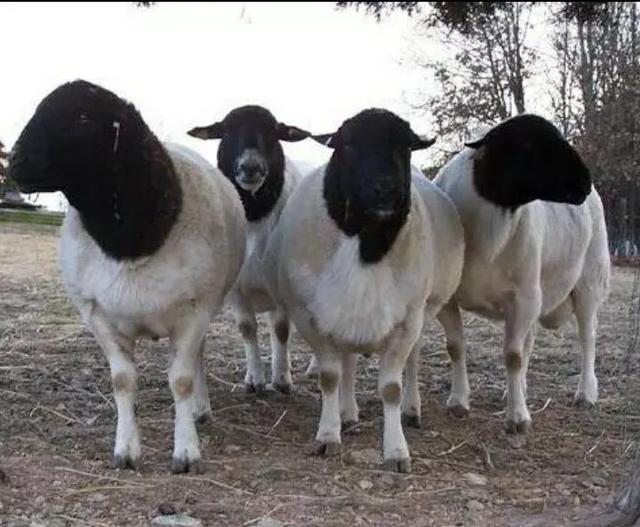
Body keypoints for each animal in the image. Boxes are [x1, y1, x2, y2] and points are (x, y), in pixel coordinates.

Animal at [8, 80, 246, 472]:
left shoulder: (195, 311)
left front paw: (186, 452)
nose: (14, 161)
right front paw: (125, 451)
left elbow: (181, 381)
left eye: (82, 117)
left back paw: (200, 408)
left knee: (198, 356)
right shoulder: (96, 314)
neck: (131, 241)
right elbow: (122, 381)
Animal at [188, 106, 310, 394]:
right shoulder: (237, 288)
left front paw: (282, 379)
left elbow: (281, 329)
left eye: (273, 132)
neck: (255, 216)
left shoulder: (281, 285)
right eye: (227, 131)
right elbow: (247, 328)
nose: (251, 167)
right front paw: (255, 379)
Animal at [265, 109, 464, 472]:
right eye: (349, 145)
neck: (367, 245)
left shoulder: (408, 319)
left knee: (412, 361)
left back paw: (411, 410)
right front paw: (328, 436)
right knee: (348, 361)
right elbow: (330, 377)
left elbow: (391, 388)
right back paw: (347, 414)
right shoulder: (309, 316)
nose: (386, 189)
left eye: (406, 146)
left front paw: (397, 451)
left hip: (423, 309)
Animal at [432, 114, 610, 434]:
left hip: (589, 281)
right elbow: (455, 347)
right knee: (530, 340)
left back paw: (586, 393)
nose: (585, 181)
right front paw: (459, 402)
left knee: (587, 336)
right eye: (527, 144)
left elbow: (512, 357)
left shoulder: (522, 297)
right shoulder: (448, 299)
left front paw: (517, 418)